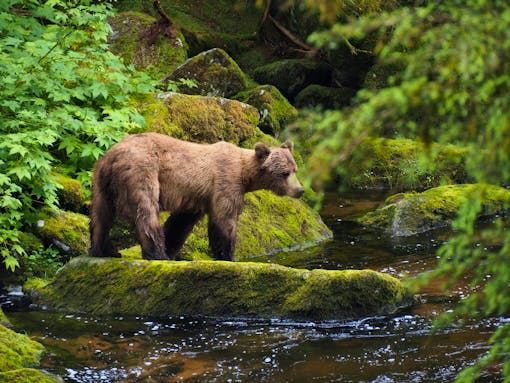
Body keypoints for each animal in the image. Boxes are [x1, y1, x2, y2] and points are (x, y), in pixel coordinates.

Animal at [88, 132, 302, 260]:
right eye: (284, 173)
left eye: (295, 169)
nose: (300, 190)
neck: (245, 174)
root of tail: (114, 155)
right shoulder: (225, 183)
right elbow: (224, 220)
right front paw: (227, 255)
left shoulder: (196, 196)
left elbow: (180, 223)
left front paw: (172, 247)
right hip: (142, 171)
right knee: (146, 211)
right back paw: (157, 254)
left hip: (101, 179)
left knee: (100, 215)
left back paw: (104, 250)